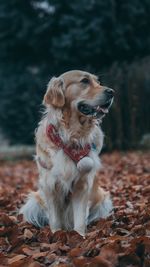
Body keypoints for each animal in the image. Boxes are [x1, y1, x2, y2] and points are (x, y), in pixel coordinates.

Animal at [19, 69, 113, 237]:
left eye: (98, 82)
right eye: (84, 81)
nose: (112, 92)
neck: (71, 136)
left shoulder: (82, 184)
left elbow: (80, 219)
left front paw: (80, 237)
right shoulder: (49, 185)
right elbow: (55, 220)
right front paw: (56, 235)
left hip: (103, 198)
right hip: (34, 201)